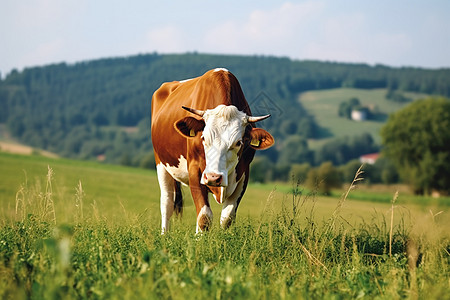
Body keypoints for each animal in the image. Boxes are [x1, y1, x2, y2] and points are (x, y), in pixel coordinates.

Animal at [151, 68, 274, 234]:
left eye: (238, 142)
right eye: (203, 138)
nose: (213, 177)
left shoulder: (244, 173)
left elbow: (227, 218)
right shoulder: (195, 170)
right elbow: (204, 216)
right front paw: (199, 239)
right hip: (161, 164)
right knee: (167, 203)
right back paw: (165, 235)